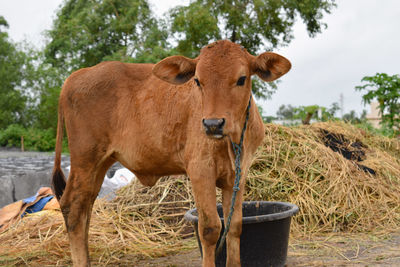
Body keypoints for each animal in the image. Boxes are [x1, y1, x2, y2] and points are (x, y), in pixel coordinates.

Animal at [53, 40, 290, 267]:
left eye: (241, 79)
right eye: (198, 81)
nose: (213, 124)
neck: (232, 140)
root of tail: (75, 76)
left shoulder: (238, 175)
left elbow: (235, 225)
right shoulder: (200, 170)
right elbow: (210, 228)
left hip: (99, 163)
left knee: (86, 206)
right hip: (85, 159)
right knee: (73, 207)